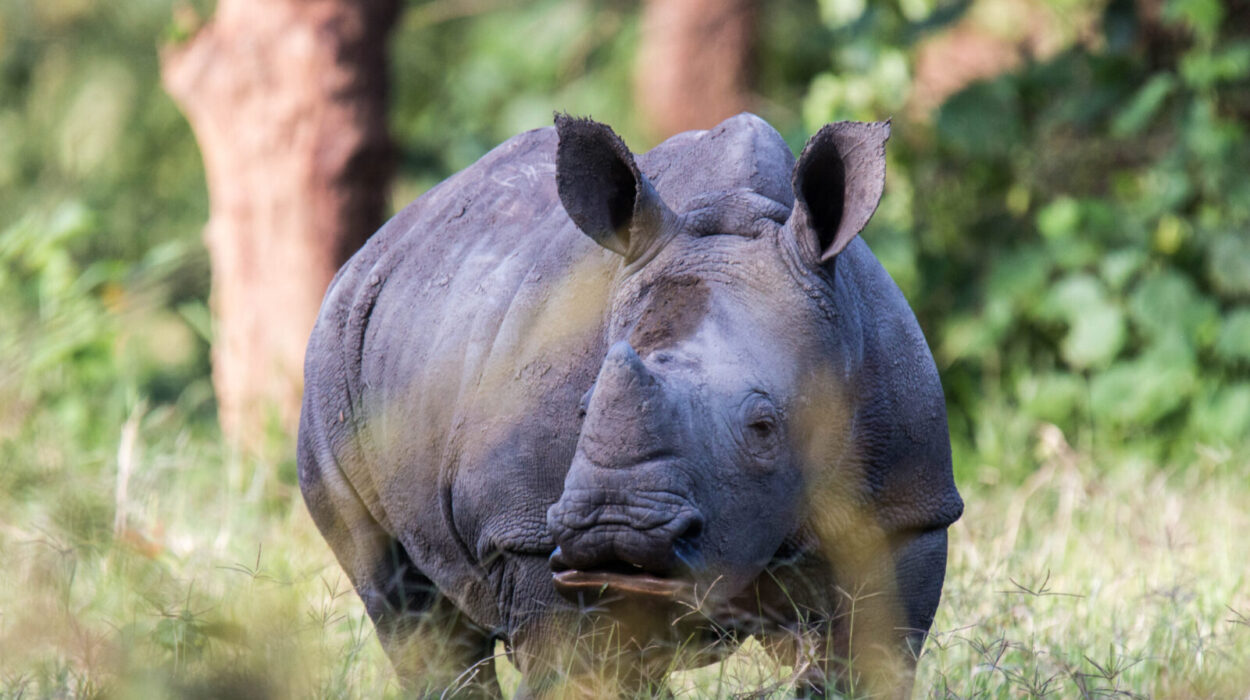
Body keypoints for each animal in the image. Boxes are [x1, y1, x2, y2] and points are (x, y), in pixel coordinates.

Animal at [298, 113, 963, 697]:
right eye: (583, 409)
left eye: (763, 426)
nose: (616, 529)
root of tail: (384, 239)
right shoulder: (526, 531)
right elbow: (577, 671)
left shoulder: (906, 513)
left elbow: (863, 667)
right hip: (332, 356)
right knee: (407, 609)